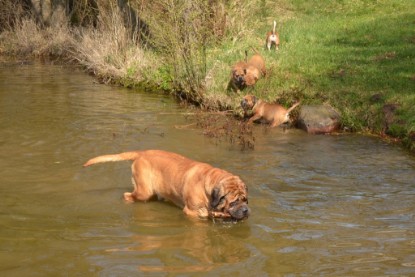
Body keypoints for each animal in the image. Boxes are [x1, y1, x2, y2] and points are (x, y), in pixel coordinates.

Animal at [83, 149, 249, 220]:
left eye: (245, 200)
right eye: (233, 202)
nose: (246, 210)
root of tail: (141, 153)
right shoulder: (191, 211)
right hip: (144, 191)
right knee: (127, 195)